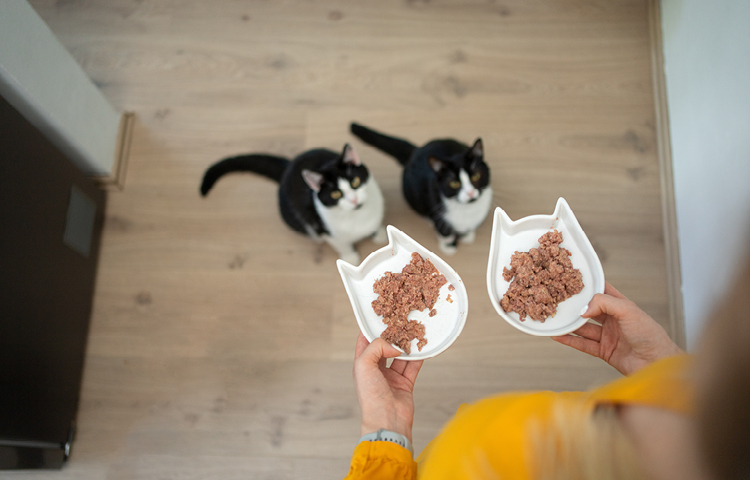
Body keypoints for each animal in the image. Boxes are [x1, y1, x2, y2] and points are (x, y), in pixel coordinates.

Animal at [200, 144, 384, 264]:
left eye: (355, 181)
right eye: (335, 194)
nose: (354, 200)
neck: (358, 215)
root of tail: (288, 166)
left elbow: (375, 224)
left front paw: (379, 234)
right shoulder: (323, 228)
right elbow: (341, 243)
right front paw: (350, 257)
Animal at [352, 122, 494, 253]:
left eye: (475, 176)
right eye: (454, 183)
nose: (470, 193)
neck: (467, 209)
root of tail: (416, 150)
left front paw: (467, 235)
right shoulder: (436, 205)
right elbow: (445, 231)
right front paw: (448, 247)